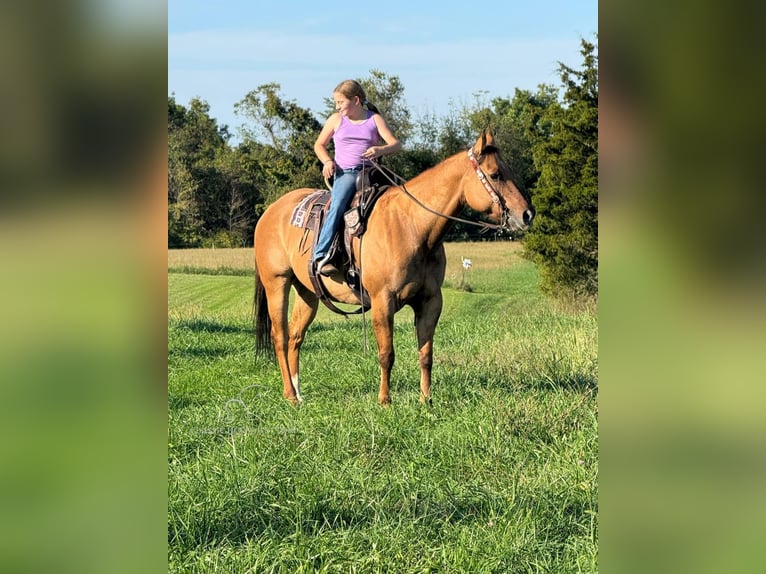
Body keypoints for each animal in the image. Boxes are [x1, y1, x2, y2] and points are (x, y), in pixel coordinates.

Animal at [255, 129, 536, 410]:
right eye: (495, 174)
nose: (527, 214)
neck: (412, 226)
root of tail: (270, 212)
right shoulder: (383, 300)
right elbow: (386, 353)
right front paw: (385, 401)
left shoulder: (430, 301)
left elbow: (426, 353)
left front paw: (426, 399)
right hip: (277, 283)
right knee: (280, 336)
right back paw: (290, 394)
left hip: (308, 293)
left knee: (295, 336)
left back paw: (298, 393)